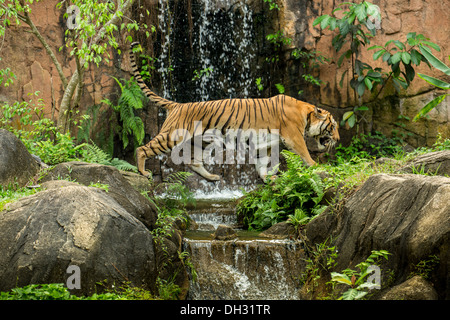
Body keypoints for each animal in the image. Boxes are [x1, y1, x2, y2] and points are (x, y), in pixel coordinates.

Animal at [128, 42, 340, 181]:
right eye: (333, 126)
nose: (338, 139)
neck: (306, 113)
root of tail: (177, 105)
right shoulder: (293, 137)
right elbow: (305, 153)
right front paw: (317, 167)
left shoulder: (266, 143)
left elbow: (263, 163)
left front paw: (267, 178)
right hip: (172, 136)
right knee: (142, 149)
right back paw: (143, 172)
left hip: (201, 141)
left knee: (194, 162)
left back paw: (212, 177)